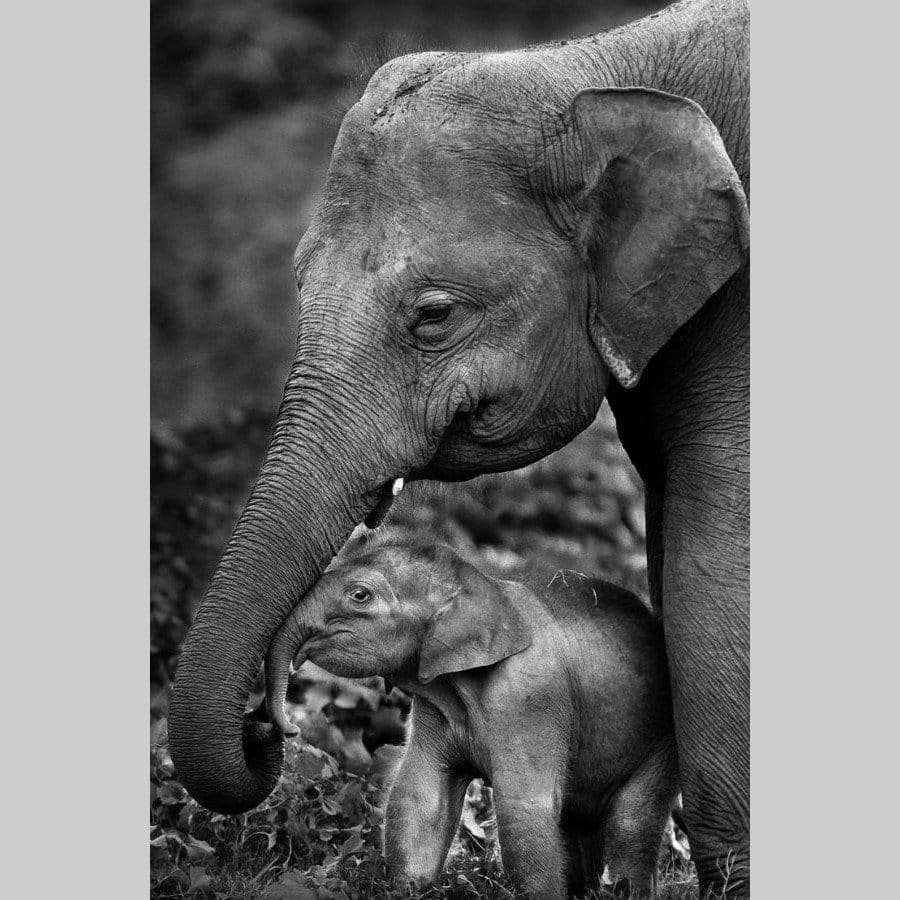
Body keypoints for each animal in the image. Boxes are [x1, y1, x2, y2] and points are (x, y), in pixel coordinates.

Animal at [264, 536, 679, 899]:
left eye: (360, 595)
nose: (291, 727)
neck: (482, 585)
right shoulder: (434, 703)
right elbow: (420, 795)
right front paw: (409, 889)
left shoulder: (529, 698)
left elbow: (523, 809)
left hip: (662, 740)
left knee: (631, 823)